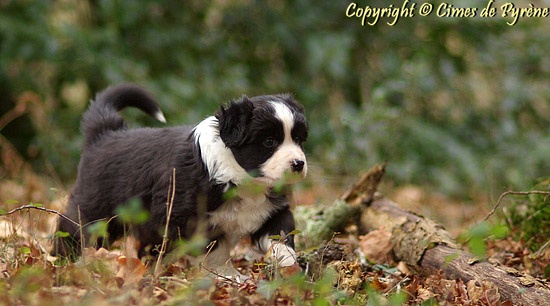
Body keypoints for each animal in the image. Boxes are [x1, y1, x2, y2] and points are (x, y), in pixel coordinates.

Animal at [52, 84, 308, 280]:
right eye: (269, 141)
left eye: (298, 138)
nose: (298, 163)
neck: (239, 176)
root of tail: (105, 133)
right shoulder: (187, 219)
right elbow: (216, 251)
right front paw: (229, 275)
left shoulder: (271, 210)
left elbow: (282, 233)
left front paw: (288, 264)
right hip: (94, 210)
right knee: (73, 231)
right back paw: (62, 263)